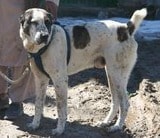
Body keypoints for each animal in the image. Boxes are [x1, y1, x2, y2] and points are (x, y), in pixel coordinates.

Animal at [19, 8, 147, 135]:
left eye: (48, 22)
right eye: (33, 22)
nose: (45, 36)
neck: (41, 48)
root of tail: (126, 29)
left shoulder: (60, 80)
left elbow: (61, 108)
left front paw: (60, 130)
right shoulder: (40, 80)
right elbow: (38, 105)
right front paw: (35, 124)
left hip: (117, 76)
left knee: (124, 103)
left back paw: (116, 127)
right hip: (111, 75)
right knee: (115, 102)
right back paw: (105, 122)